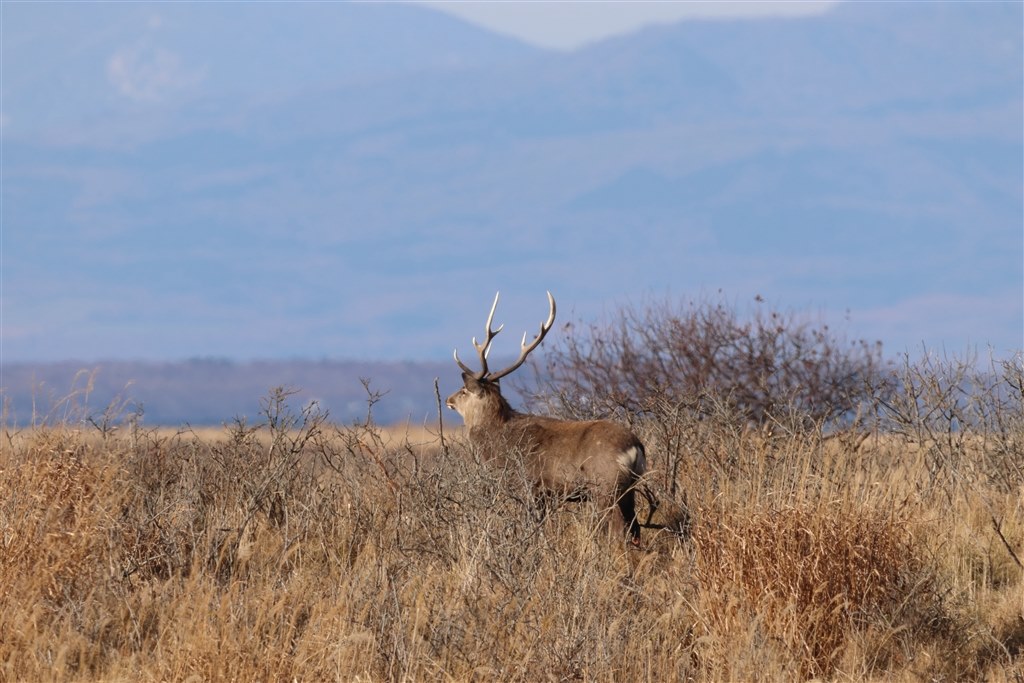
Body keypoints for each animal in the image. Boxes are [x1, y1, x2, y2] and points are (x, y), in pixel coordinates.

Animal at [448, 290, 647, 548]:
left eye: (463, 391)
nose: (448, 400)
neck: (497, 439)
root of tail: (635, 447)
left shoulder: (529, 487)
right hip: (629, 489)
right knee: (636, 529)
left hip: (605, 486)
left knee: (619, 530)